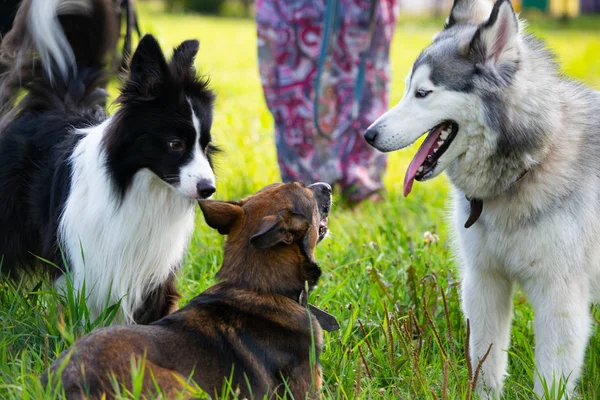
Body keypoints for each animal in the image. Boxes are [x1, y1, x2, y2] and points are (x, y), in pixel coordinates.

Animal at [0, 0, 216, 324]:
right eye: (175, 144)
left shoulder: (154, 275)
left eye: (206, 144)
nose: (208, 189)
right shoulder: (83, 271)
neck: (138, 186)